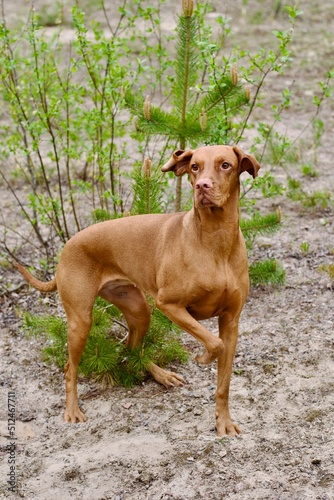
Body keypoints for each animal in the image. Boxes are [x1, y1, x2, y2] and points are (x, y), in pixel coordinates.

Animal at [17, 146, 260, 438]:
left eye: (225, 165)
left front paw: (223, 421)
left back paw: (162, 375)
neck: (216, 241)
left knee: (131, 348)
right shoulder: (170, 304)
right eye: (194, 167)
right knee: (70, 367)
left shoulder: (231, 320)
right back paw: (72, 409)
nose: (202, 186)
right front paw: (203, 356)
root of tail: (67, 245)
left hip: (138, 309)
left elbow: (223, 380)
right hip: (81, 320)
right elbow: (215, 343)